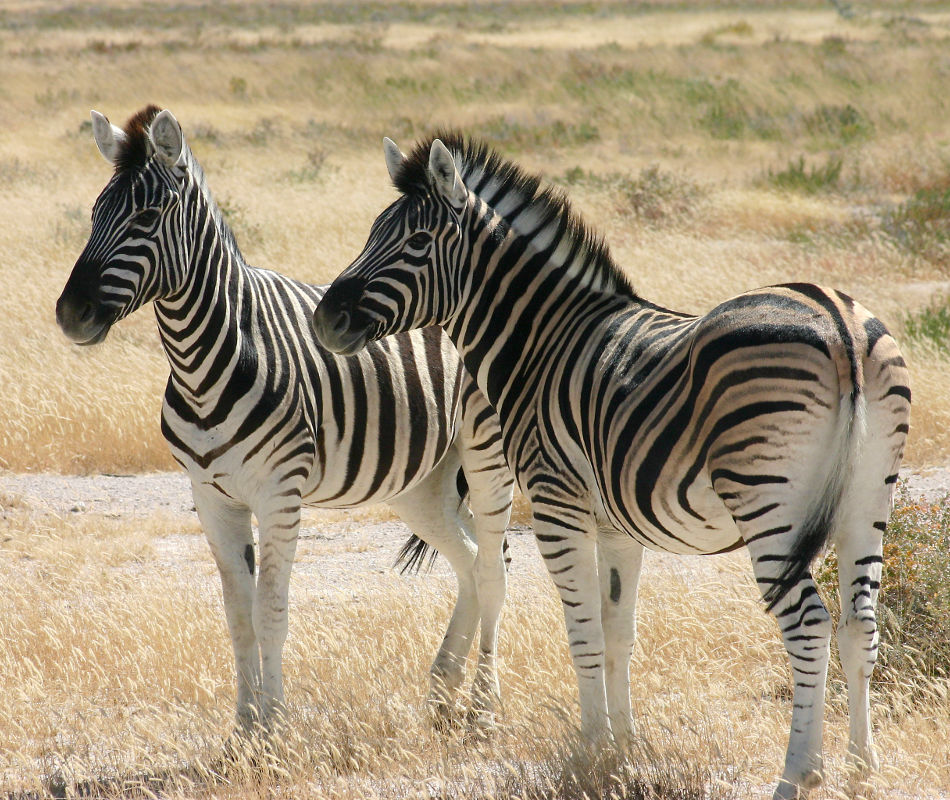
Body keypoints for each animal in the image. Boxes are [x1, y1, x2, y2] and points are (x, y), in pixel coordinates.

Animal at [54, 108, 512, 736]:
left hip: (487, 452)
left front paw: (273, 729)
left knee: (493, 566)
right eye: (96, 214)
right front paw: (243, 731)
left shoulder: (278, 492)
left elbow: (270, 607)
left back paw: (483, 710)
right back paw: (443, 693)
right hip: (421, 481)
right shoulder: (210, 495)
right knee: (466, 557)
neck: (206, 362)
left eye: (145, 218)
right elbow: (236, 612)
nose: (69, 314)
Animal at [312, 134, 916, 796]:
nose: (324, 321)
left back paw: (799, 773)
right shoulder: (618, 526)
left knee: (809, 625)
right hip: (869, 497)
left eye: (416, 242)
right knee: (859, 626)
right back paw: (863, 768)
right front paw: (625, 747)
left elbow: (583, 634)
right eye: (372, 232)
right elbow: (617, 631)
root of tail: (840, 319)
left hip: (768, 501)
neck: (541, 342)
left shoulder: (557, 504)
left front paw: (590, 749)